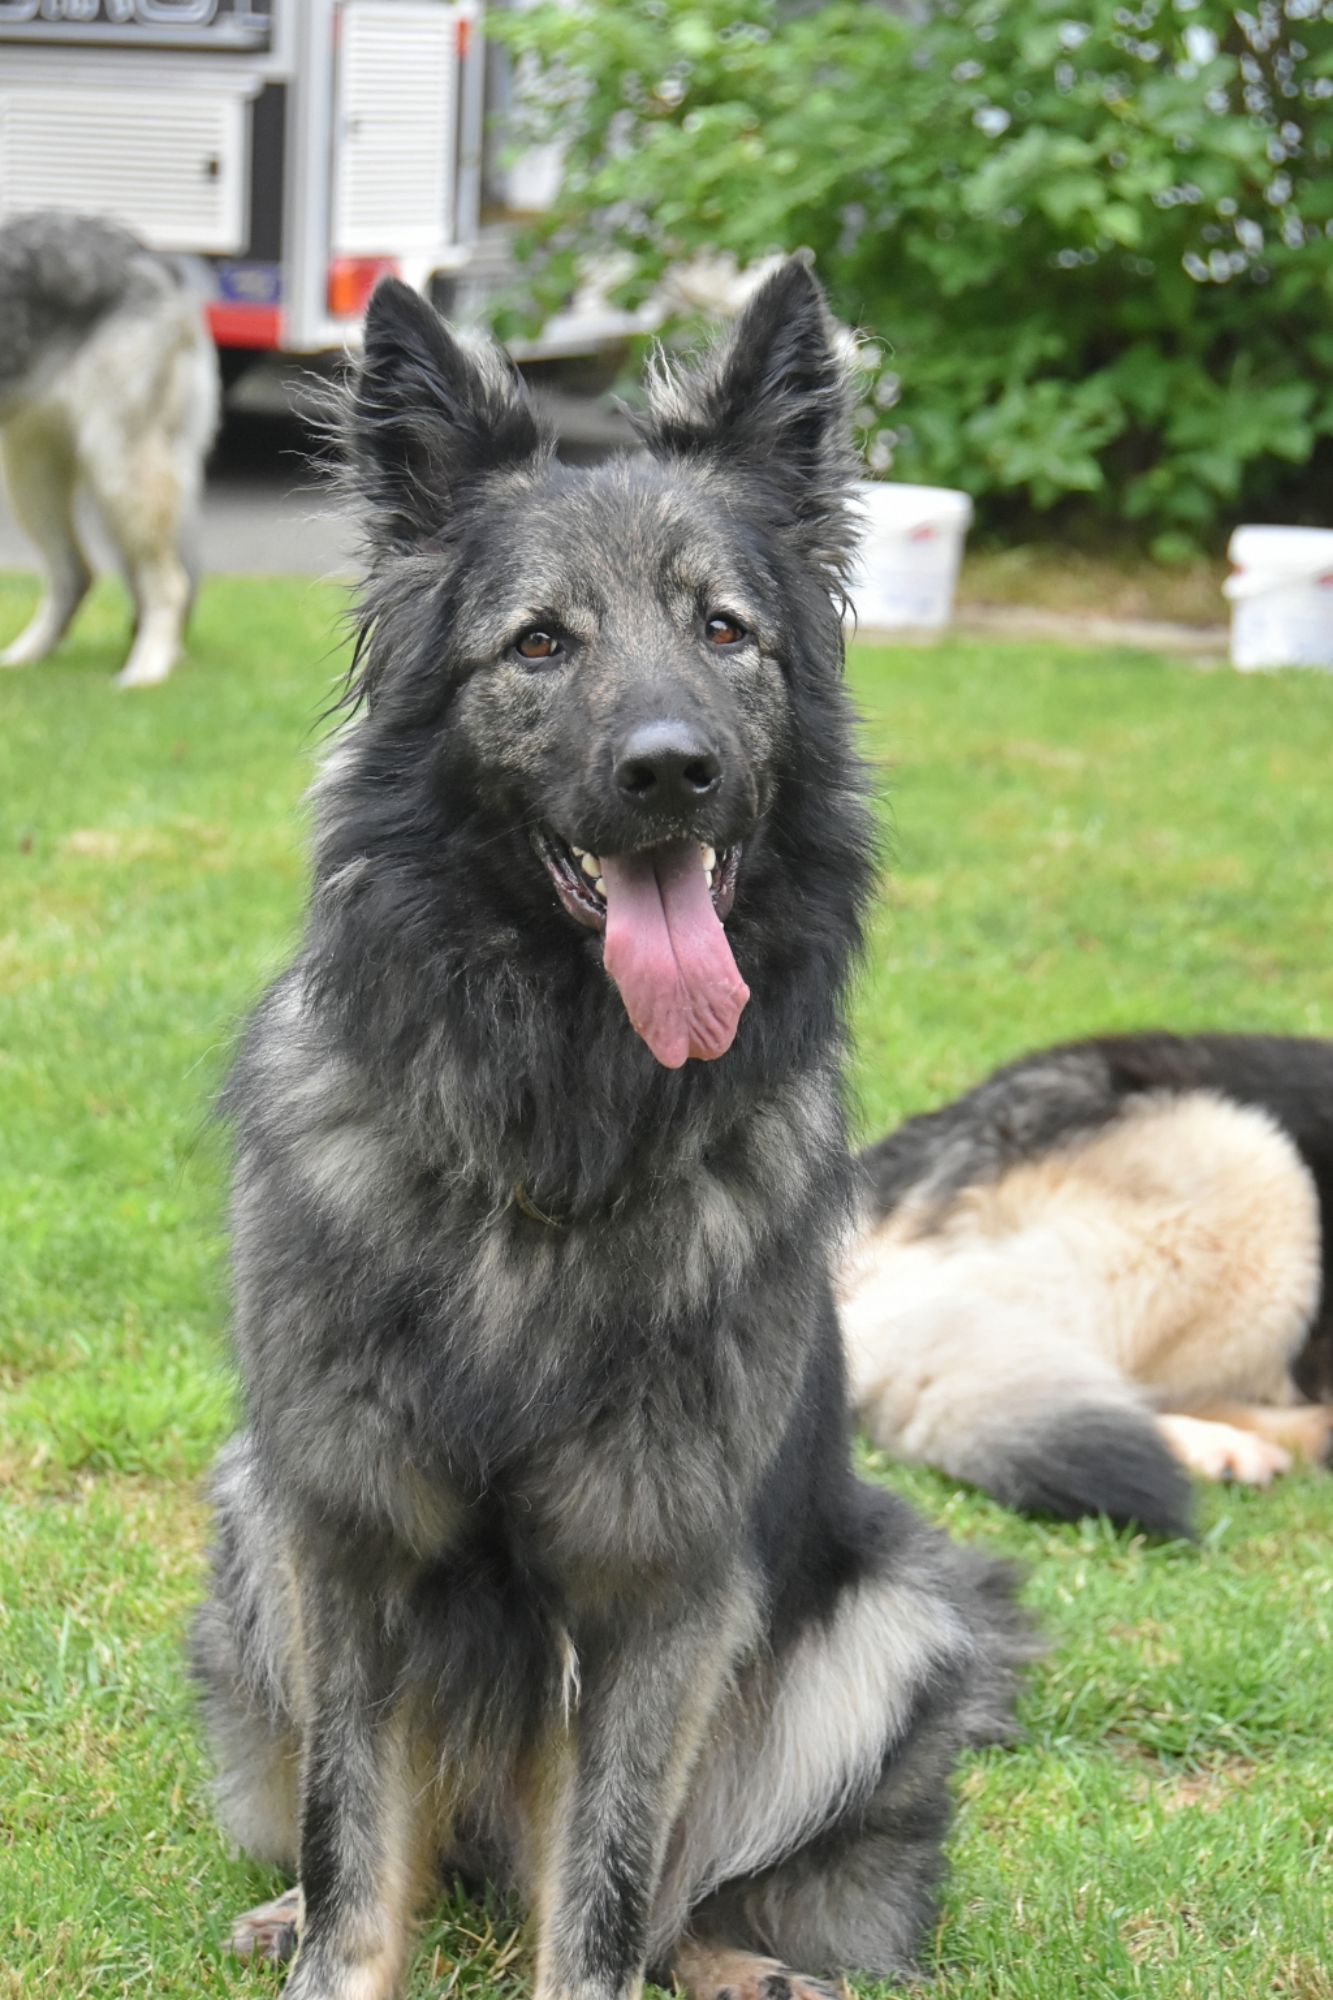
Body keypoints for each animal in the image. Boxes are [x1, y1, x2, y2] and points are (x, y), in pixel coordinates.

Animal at [0, 209, 218, 687]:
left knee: (168, 584)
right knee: (74, 576)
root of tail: (152, 257)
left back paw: (146, 671)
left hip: (117, 471)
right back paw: (23, 658)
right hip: (32, 479)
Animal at [190, 263, 1033, 2000]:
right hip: (248, 1508)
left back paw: (744, 1964)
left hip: (897, 1623)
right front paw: (324, 1938)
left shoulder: (661, 1590)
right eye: (538, 643)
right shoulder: (346, 1536)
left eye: (724, 630)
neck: (553, 1139)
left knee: (699, 1890)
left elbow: (609, 1884)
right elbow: (349, 1835)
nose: (672, 771)